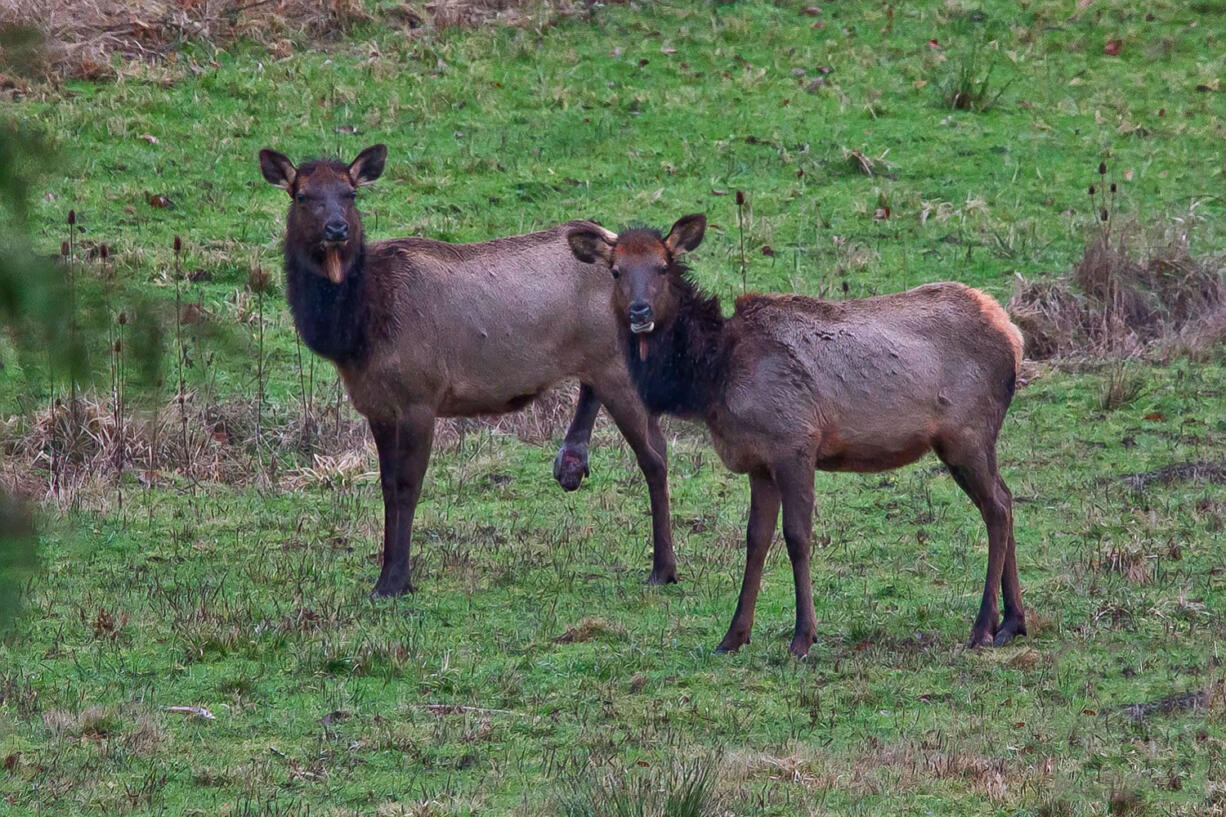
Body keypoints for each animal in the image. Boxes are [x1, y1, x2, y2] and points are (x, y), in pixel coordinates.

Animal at [258, 144, 681, 591]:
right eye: (301, 195)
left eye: (350, 193)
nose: (337, 228)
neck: (357, 332)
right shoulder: (376, 405)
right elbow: (386, 487)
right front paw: (384, 577)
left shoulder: (420, 397)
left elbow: (407, 486)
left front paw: (397, 581)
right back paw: (572, 461)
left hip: (616, 366)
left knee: (653, 457)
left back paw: (662, 568)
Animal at [568, 214, 1029, 657]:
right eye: (615, 270)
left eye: (663, 267)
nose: (639, 313)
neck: (712, 380)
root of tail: (1014, 336)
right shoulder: (758, 461)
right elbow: (755, 540)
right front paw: (732, 637)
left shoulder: (795, 442)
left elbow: (797, 537)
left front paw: (803, 637)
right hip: (974, 439)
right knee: (1005, 499)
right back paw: (1012, 623)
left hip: (966, 433)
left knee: (996, 509)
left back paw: (983, 627)